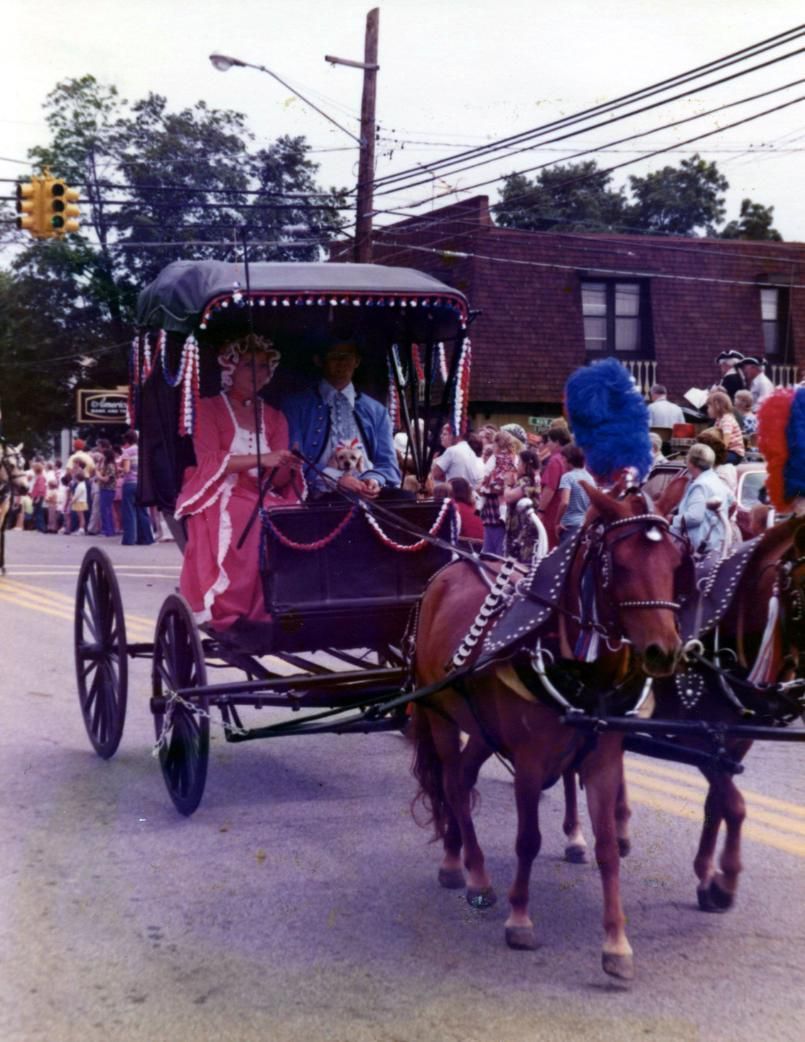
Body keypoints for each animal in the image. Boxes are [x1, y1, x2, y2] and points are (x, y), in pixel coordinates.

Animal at [409, 484, 688, 980]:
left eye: (676, 560)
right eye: (620, 563)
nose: (664, 651)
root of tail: (455, 565)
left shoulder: (602, 758)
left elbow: (607, 847)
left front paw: (616, 943)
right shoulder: (529, 761)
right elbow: (528, 840)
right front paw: (520, 918)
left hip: (482, 729)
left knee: (461, 779)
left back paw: (461, 857)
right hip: (440, 715)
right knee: (451, 785)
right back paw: (470, 871)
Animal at [559, 513, 805, 912]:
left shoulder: (735, 742)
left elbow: (716, 804)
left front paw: (706, 875)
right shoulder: (697, 738)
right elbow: (735, 805)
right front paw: (724, 883)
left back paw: (620, 827)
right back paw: (575, 836)